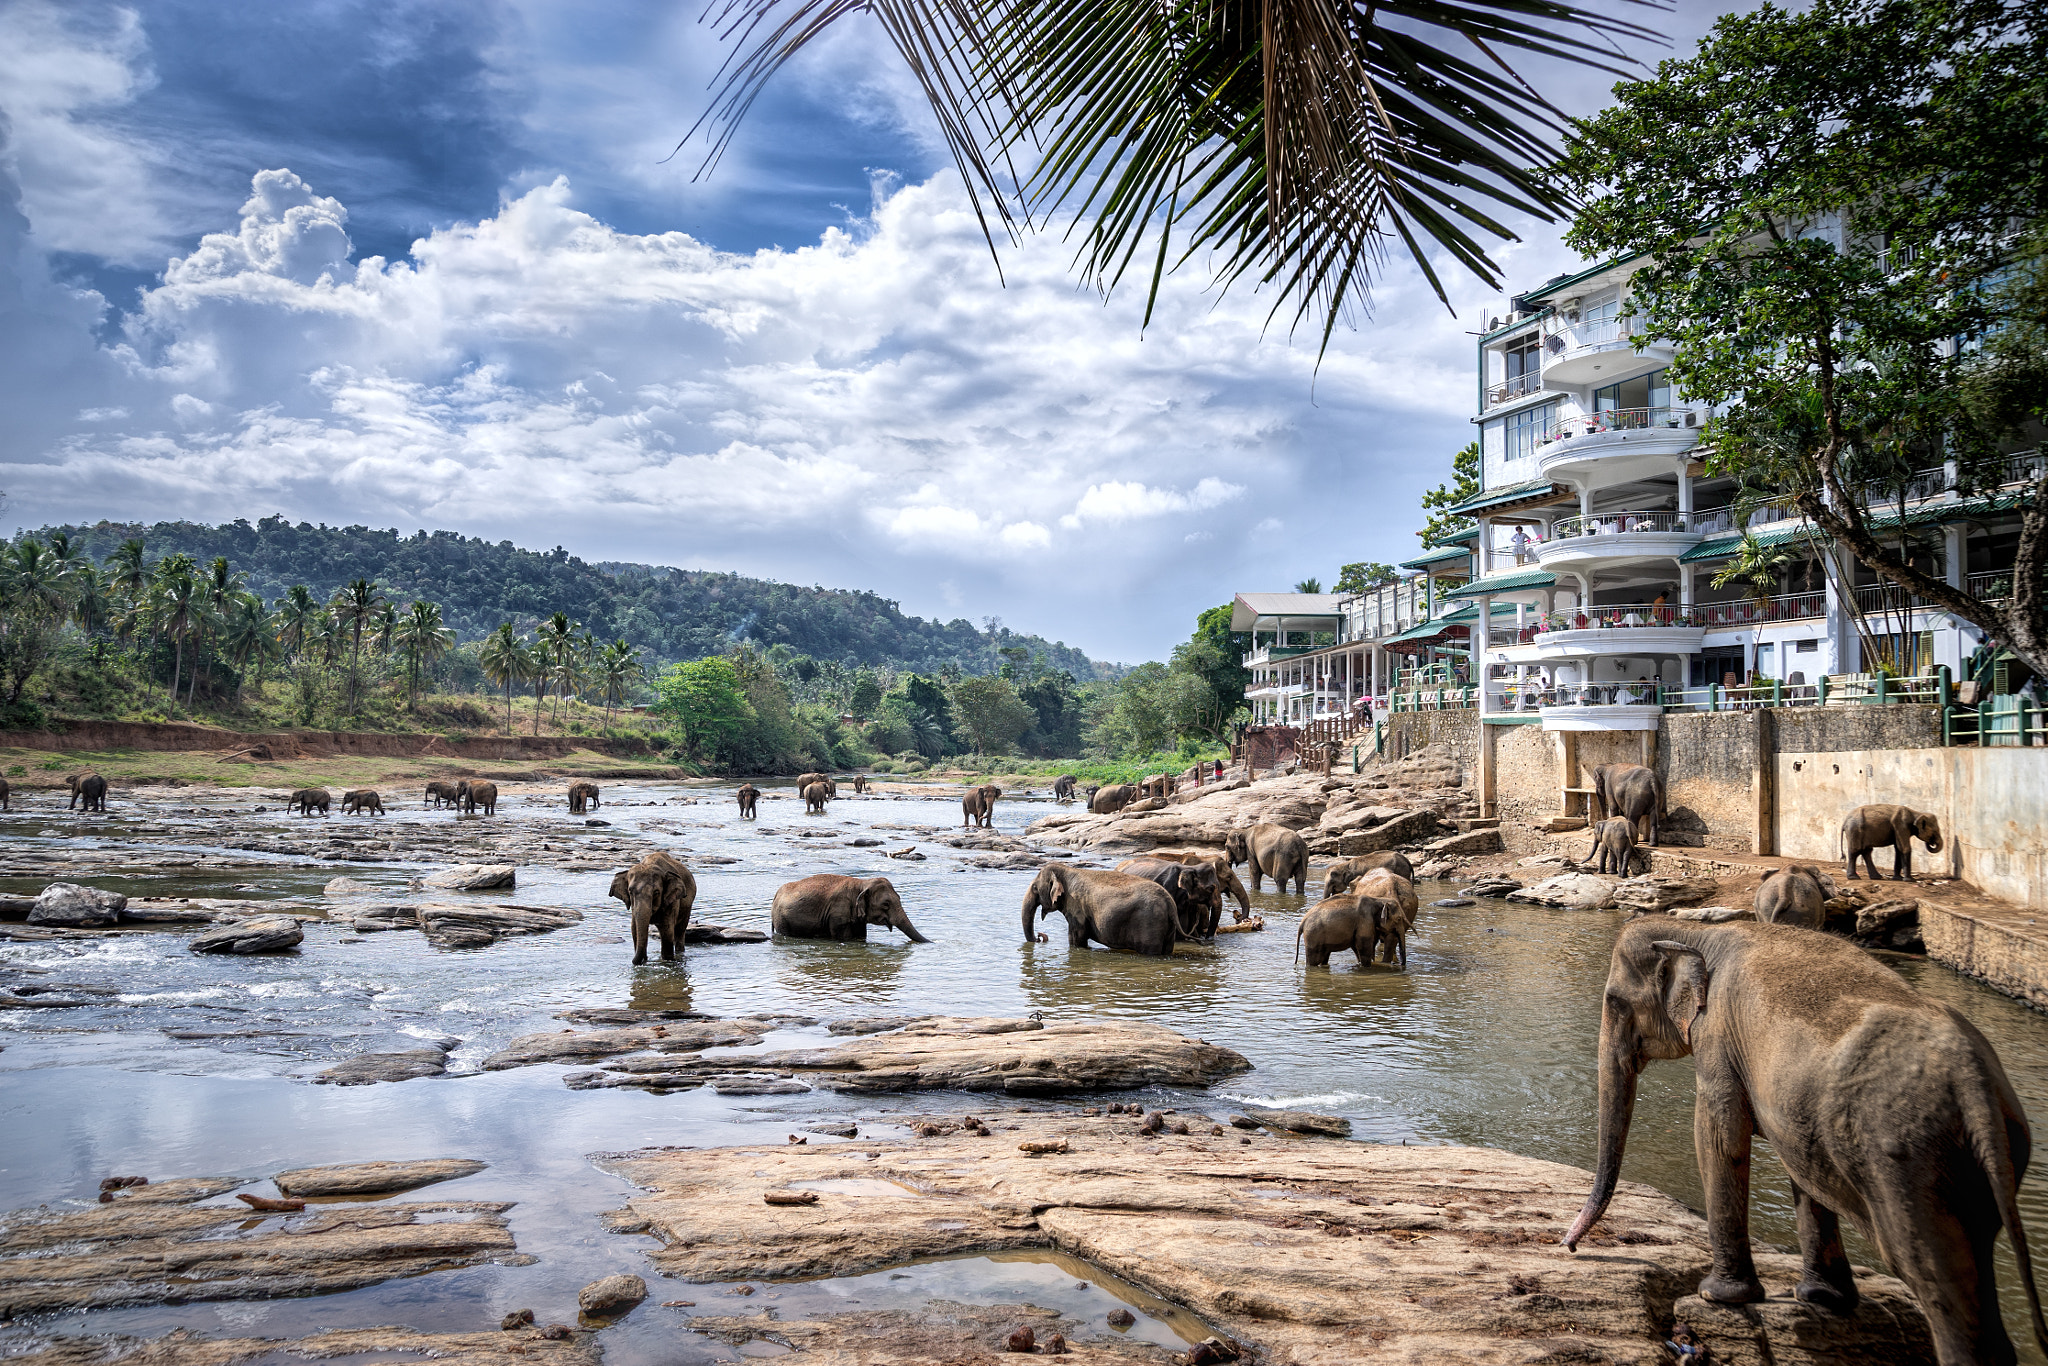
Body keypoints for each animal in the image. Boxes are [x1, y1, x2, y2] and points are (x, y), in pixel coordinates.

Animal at [770, 880, 929, 946]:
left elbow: (861, 935)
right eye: (886, 904)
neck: (862, 883)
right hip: (782, 920)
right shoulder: (838, 913)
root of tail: (776, 895)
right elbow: (845, 937)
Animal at [1019, 872, 1179, 958]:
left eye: (1035, 888)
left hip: (1149, 923)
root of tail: (1169, 901)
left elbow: (1076, 939)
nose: (1039, 937)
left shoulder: (1076, 906)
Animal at [1564, 917, 2048, 1366]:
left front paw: (1716, 1296)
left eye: (1613, 1001)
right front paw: (1821, 1299)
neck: (1696, 931)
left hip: (1905, 1157)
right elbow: (1804, 1171)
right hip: (1976, 1159)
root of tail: (1974, 1083)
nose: (1569, 1246)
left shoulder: (1718, 1036)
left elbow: (1718, 1136)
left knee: (1931, 1275)